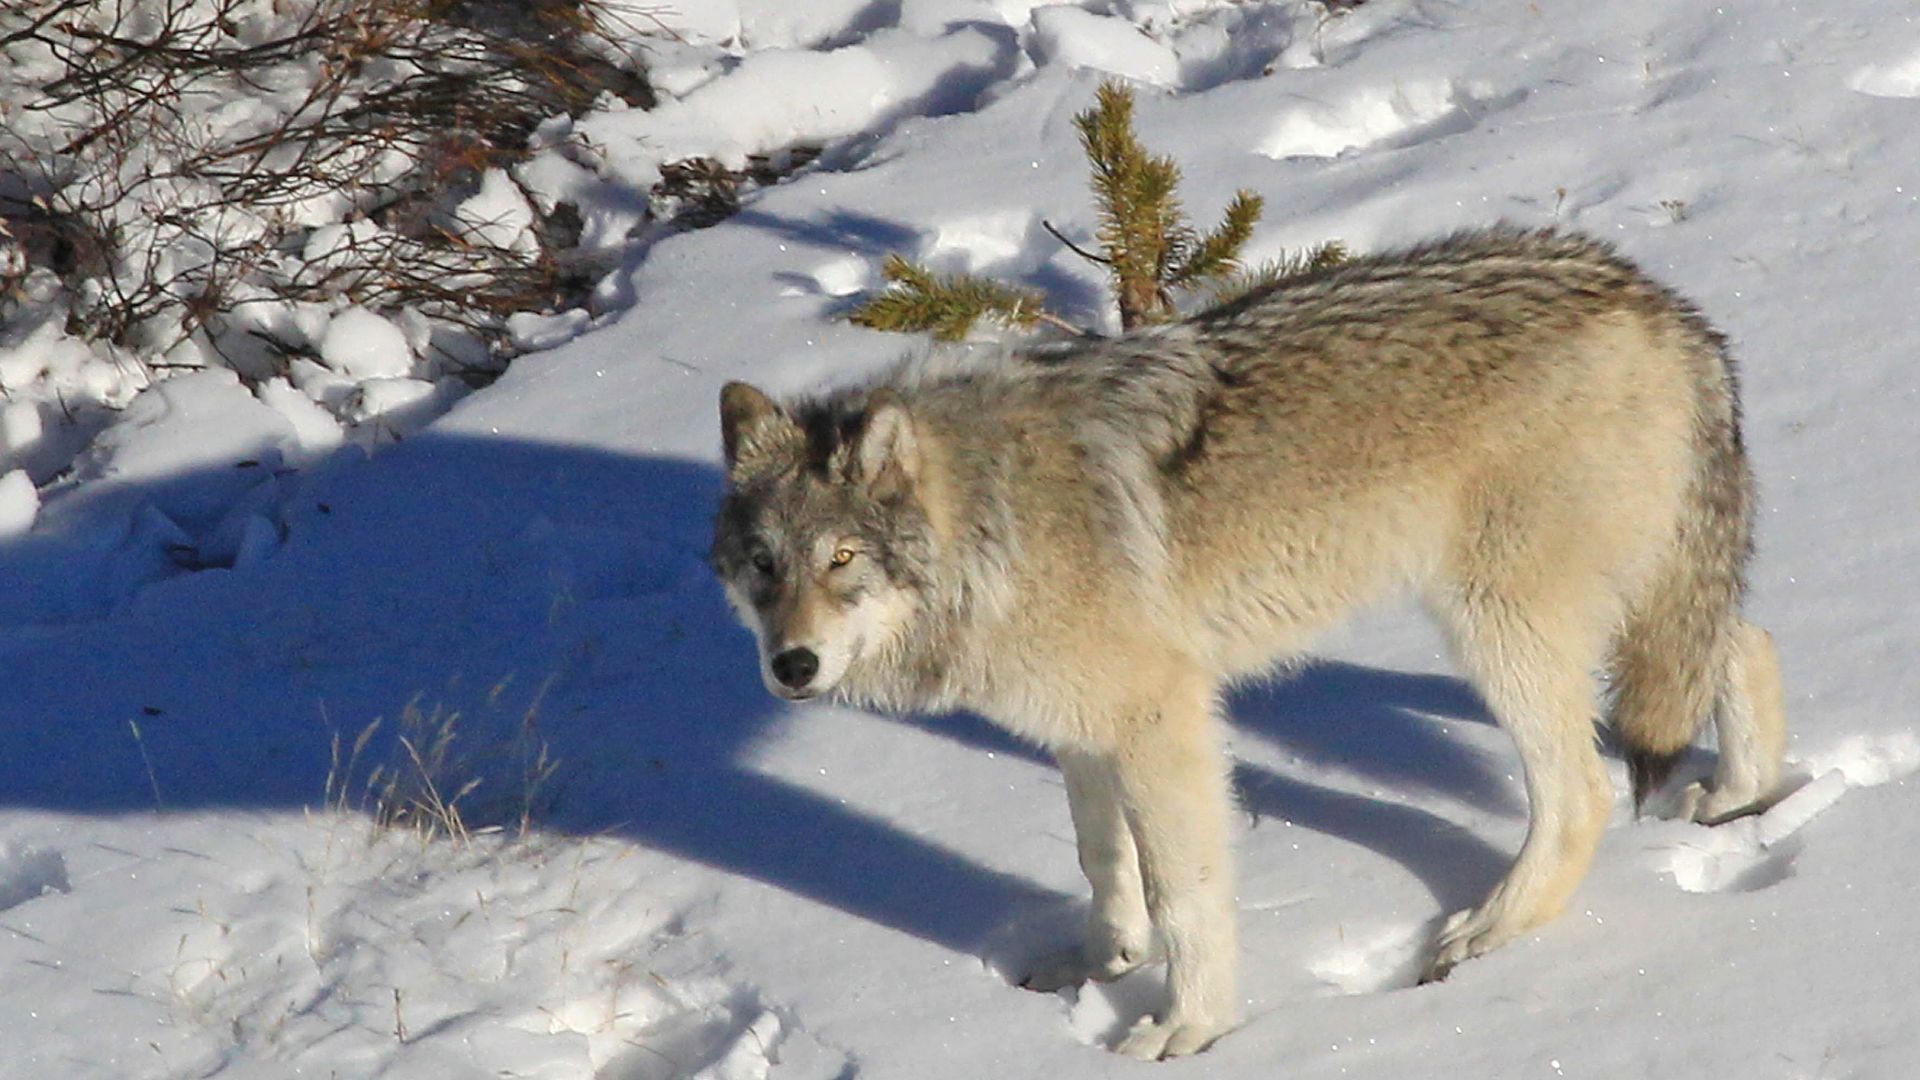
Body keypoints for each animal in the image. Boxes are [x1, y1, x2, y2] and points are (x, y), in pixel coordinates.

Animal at [709, 226, 1787, 1060]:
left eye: (843, 558)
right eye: (764, 564)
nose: (791, 666)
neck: (995, 520)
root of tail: (1658, 299)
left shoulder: (1163, 718)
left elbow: (1184, 893)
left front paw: (1190, 1029)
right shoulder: (1081, 729)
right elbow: (1102, 861)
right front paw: (1101, 965)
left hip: (1497, 626)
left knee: (1584, 794)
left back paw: (1485, 933)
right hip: (1624, 600)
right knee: (1746, 642)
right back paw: (1742, 797)